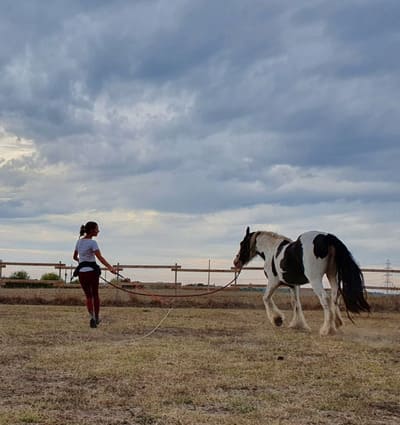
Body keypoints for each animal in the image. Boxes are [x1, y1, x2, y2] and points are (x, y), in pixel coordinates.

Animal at [233, 225, 370, 334]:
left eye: (242, 243)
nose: (236, 262)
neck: (271, 251)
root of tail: (327, 237)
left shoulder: (273, 282)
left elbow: (266, 298)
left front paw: (277, 320)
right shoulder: (293, 285)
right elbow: (296, 303)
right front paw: (298, 324)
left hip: (315, 279)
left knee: (325, 298)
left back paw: (327, 329)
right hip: (331, 275)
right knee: (335, 296)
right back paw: (336, 323)